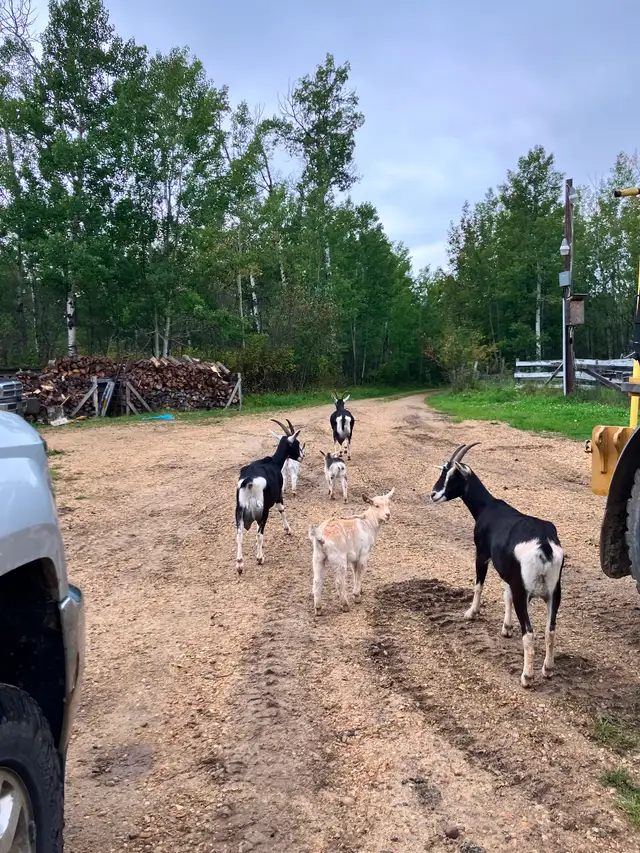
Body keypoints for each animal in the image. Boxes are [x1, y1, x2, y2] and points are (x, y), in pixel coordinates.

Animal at [235, 418, 303, 575]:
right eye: (296, 443)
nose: (302, 456)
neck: (273, 461)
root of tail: (250, 481)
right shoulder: (278, 496)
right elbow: (282, 509)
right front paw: (288, 530)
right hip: (263, 509)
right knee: (259, 534)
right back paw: (260, 558)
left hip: (239, 509)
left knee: (239, 534)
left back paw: (240, 564)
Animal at [430, 443, 564, 688]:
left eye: (452, 475)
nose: (433, 494)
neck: (487, 507)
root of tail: (544, 546)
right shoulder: (508, 572)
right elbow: (506, 595)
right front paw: (506, 628)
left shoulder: (482, 554)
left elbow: (478, 585)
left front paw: (471, 612)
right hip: (554, 592)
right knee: (550, 630)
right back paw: (547, 670)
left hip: (525, 592)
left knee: (529, 633)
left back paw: (527, 676)